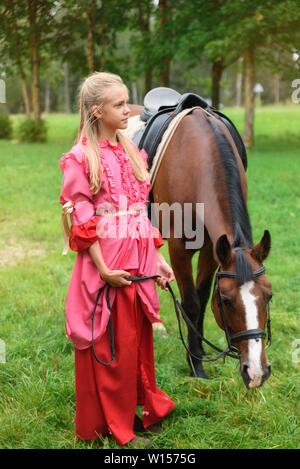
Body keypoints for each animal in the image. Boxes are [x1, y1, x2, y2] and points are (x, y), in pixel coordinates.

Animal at [127, 103, 274, 388]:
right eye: (226, 301)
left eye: (269, 296)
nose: (256, 373)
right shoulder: (179, 249)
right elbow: (191, 303)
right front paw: (195, 363)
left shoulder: (211, 250)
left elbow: (203, 298)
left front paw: (201, 351)